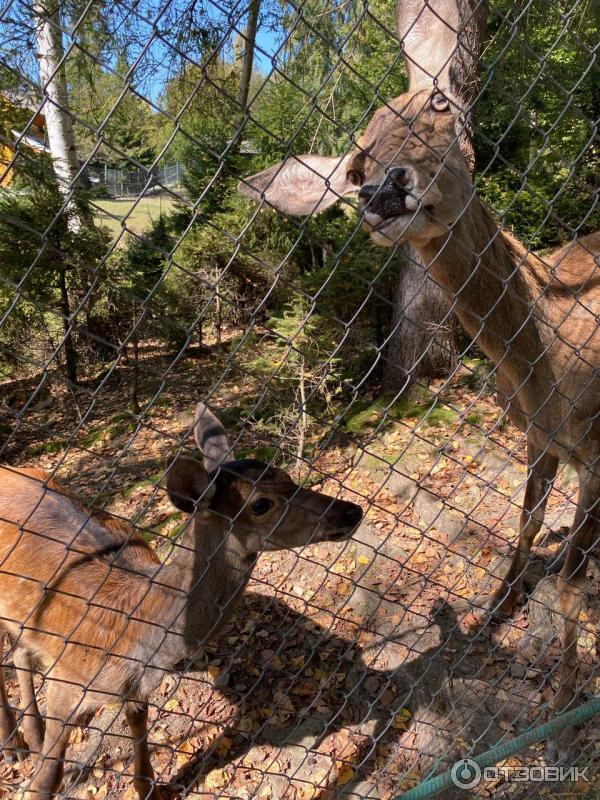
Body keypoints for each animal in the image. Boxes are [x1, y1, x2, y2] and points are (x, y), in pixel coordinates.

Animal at [0, 404, 360, 796]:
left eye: (286, 475)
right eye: (261, 504)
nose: (351, 511)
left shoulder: (137, 688)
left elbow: (139, 727)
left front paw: (149, 789)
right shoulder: (66, 679)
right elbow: (48, 778)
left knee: (20, 651)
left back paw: (31, 736)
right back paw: (15, 746)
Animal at [239, 1, 600, 744]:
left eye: (439, 104)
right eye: (352, 167)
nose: (383, 188)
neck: (547, 362)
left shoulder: (599, 449)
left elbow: (571, 581)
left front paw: (567, 703)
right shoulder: (539, 437)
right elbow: (526, 531)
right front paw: (494, 614)